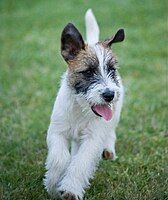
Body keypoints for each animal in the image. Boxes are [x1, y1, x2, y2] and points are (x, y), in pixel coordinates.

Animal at [44, 9, 125, 200]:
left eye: (111, 70)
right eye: (88, 72)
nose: (109, 95)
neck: (80, 109)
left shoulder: (93, 139)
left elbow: (81, 162)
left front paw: (70, 189)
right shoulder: (57, 131)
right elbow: (59, 158)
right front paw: (53, 184)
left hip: (115, 115)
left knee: (110, 130)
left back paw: (108, 149)